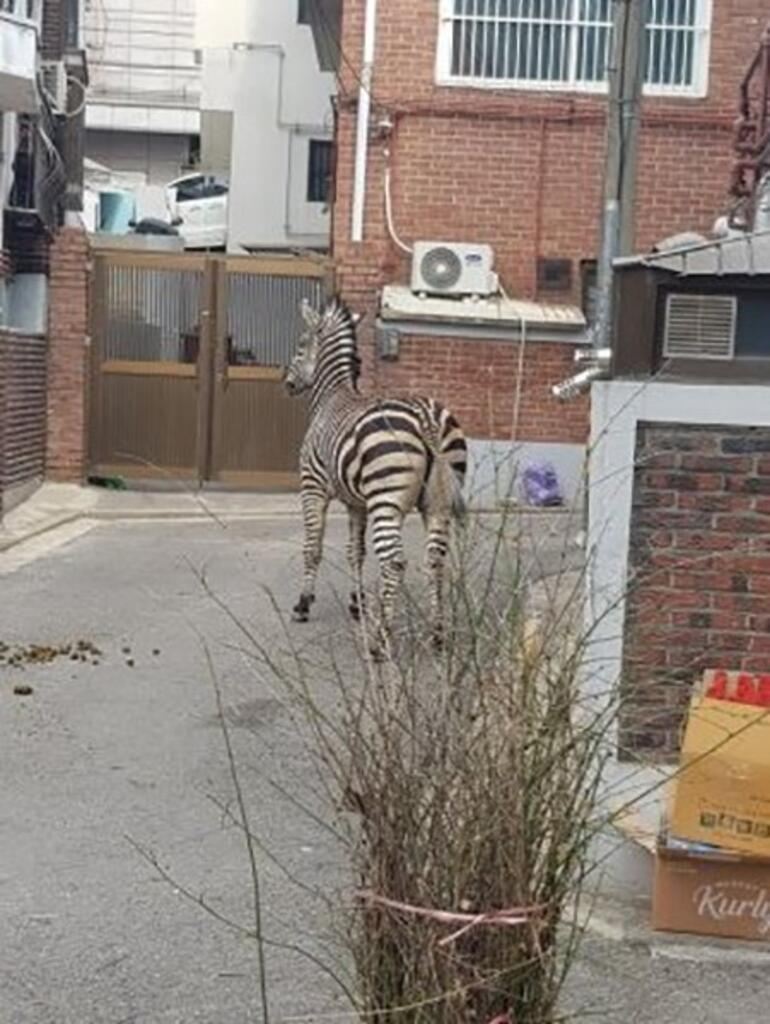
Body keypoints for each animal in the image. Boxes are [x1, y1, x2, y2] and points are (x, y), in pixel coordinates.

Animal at [283, 295, 467, 651]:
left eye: (299, 347)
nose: (286, 383)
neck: (332, 396)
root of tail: (426, 417)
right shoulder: (356, 502)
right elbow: (356, 552)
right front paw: (357, 603)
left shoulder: (312, 487)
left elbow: (313, 546)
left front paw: (303, 603)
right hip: (438, 503)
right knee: (434, 559)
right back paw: (437, 634)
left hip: (386, 501)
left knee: (394, 561)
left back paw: (381, 640)